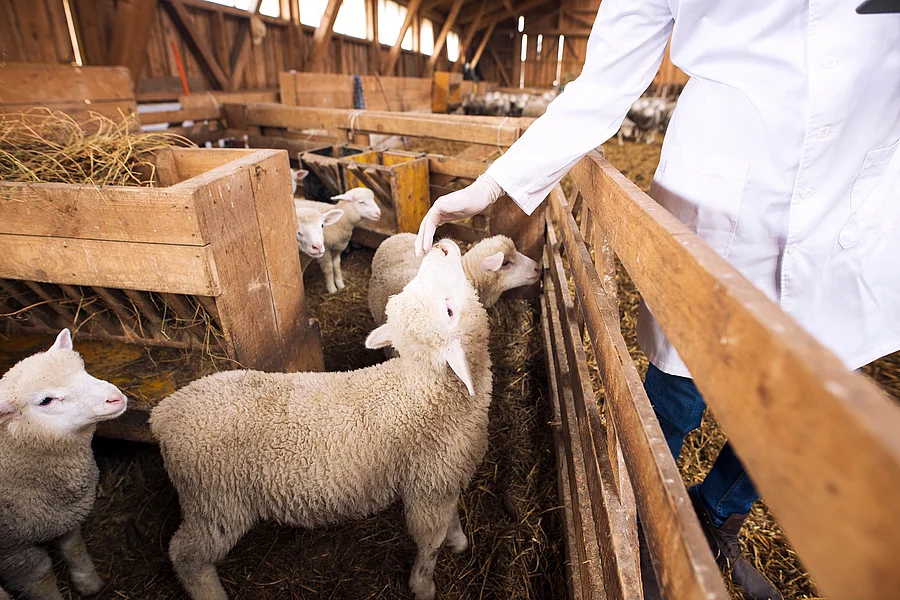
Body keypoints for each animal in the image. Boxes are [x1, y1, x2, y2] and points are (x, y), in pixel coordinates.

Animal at [0, 330, 127, 600]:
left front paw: (88, 583)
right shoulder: (12, 551)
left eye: (83, 369)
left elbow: (74, 547)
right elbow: (41, 576)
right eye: (46, 400)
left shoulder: (64, 516)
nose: (115, 398)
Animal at [150, 238, 492, 600]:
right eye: (449, 312)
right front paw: (423, 585)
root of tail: (164, 413)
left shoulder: (446, 478)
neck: (426, 386)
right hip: (215, 501)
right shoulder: (428, 487)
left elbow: (451, 518)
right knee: (185, 555)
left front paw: (458, 541)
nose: (440, 247)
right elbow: (429, 543)